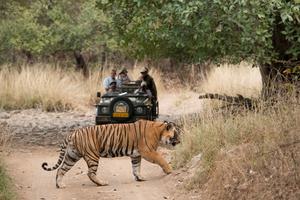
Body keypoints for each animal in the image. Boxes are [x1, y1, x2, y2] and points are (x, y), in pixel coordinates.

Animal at [41, 119, 179, 188]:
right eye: (176, 134)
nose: (179, 141)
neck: (159, 131)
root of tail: (72, 133)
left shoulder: (136, 155)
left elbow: (136, 167)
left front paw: (140, 178)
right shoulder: (148, 152)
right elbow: (161, 159)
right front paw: (169, 170)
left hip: (72, 156)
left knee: (61, 170)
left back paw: (60, 185)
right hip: (92, 156)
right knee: (90, 173)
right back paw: (102, 183)